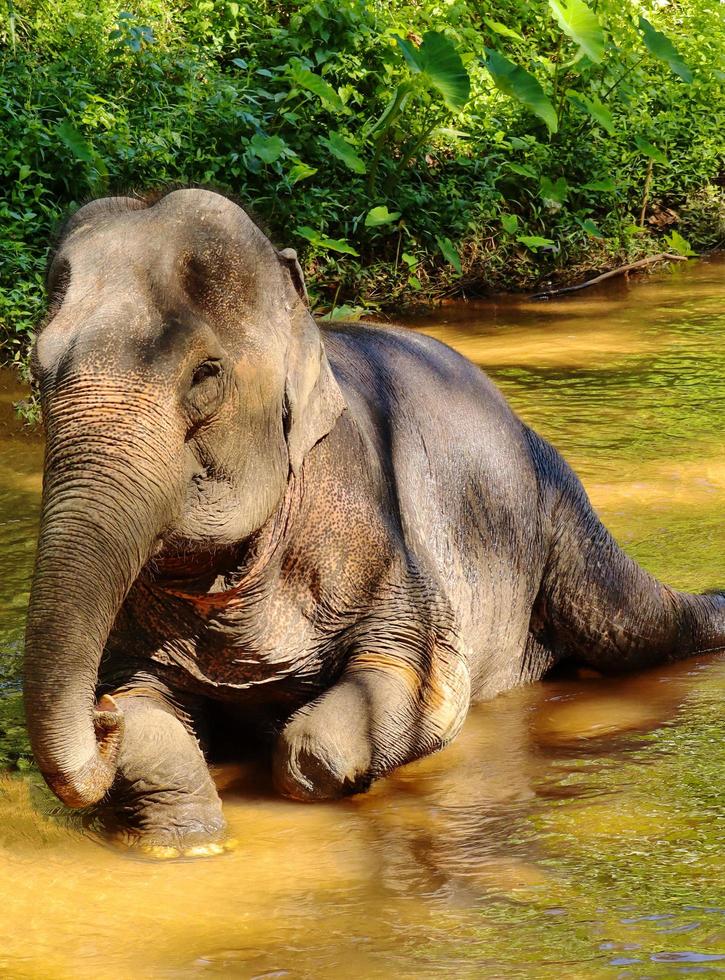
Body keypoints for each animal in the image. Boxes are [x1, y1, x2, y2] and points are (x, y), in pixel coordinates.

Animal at [24, 188, 724, 852]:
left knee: (634, 625)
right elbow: (142, 703)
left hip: (556, 511)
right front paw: (184, 842)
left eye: (205, 374)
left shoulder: (384, 542)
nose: (99, 719)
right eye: (37, 369)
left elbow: (393, 696)